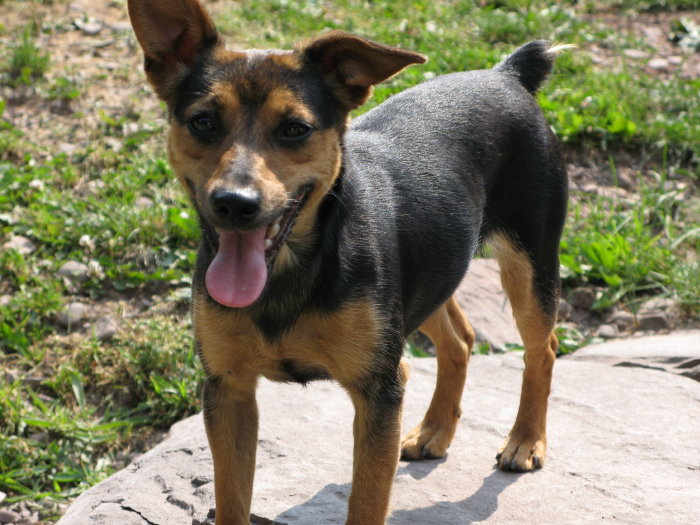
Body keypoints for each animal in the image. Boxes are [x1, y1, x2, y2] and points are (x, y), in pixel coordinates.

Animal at [130, 2, 568, 520]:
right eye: (202, 122)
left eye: (295, 129)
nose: (235, 204)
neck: (292, 270)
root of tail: (507, 74)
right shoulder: (228, 387)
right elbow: (232, 499)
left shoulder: (378, 389)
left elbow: (367, 502)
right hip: (429, 272)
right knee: (459, 339)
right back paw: (435, 430)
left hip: (530, 261)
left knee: (543, 348)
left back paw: (525, 440)